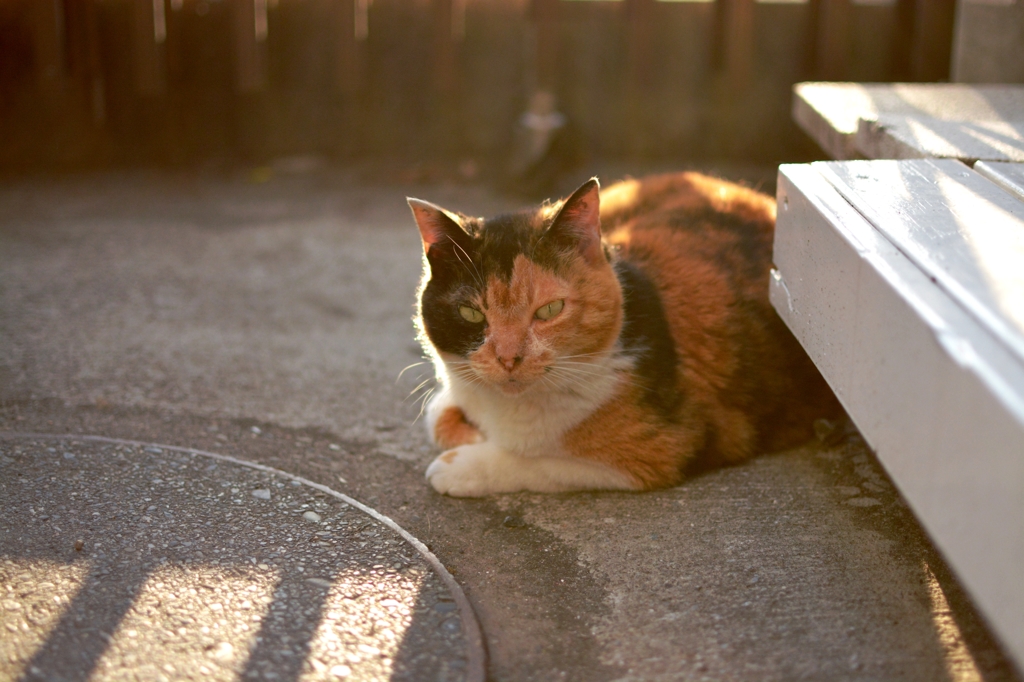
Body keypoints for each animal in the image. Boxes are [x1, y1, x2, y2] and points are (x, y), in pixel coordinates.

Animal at [407, 173, 839, 497]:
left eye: (549, 310)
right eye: (471, 313)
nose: (508, 358)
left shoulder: (664, 449)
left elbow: (545, 464)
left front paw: (459, 466)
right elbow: (438, 416)